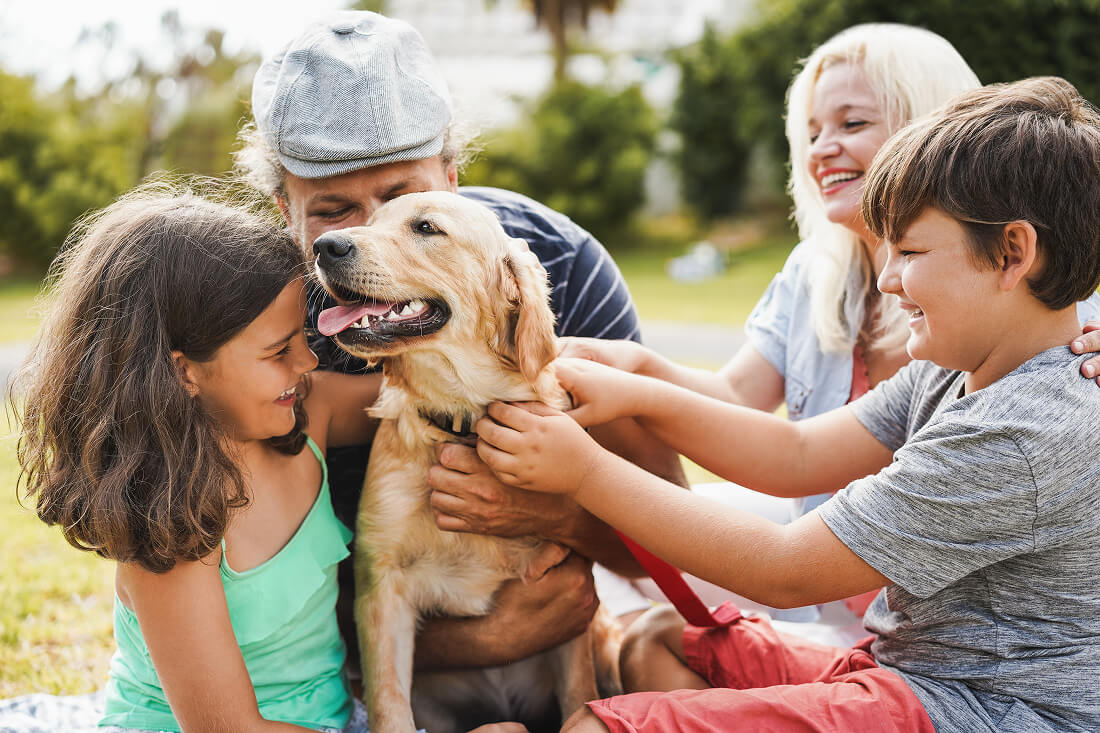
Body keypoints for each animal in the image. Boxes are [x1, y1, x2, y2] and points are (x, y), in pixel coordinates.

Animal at [312, 189, 620, 730]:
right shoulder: (381, 587)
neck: (461, 420)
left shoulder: (571, 599)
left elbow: (578, 695)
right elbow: (389, 704)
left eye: (426, 228)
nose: (324, 246)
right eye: (369, 221)